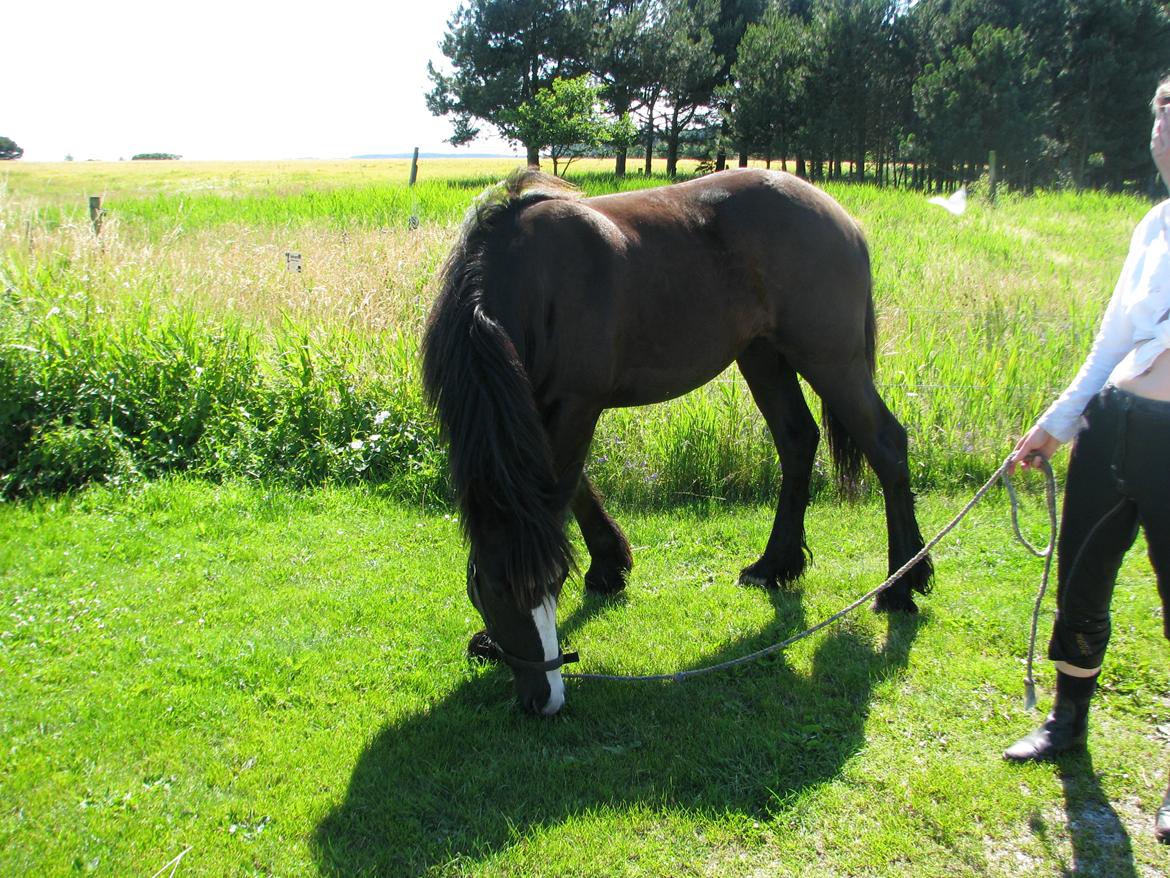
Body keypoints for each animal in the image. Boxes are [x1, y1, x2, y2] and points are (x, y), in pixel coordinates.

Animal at [423, 169, 931, 716]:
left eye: (552, 584)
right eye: (491, 592)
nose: (545, 700)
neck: (530, 274)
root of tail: (840, 216)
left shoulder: (577, 404)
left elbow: (561, 491)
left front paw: (606, 568)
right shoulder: (535, 407)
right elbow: (567, 488)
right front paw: (609, 566)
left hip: (831, 359)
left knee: (887, 445)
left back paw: (902, 585)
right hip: (763, 355)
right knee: (797, 440)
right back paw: (775, 566)